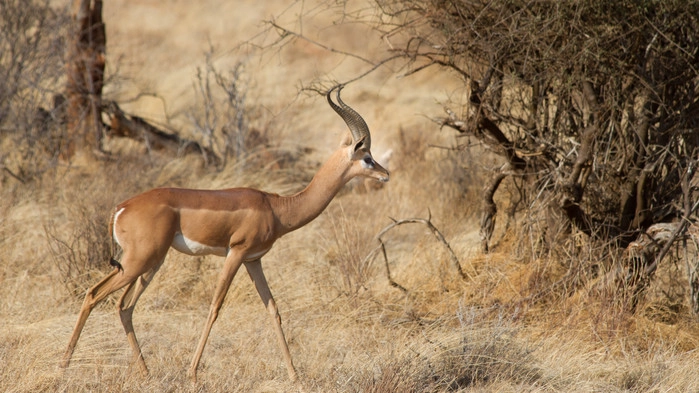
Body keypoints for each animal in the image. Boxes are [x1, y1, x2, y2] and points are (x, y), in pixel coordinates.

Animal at [58, 85, 392, 380]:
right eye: (367, 156)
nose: (386, 174)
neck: (276, 207)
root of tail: (121, 207)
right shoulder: (236, 253)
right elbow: (215, 308)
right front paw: (192, 374)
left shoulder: (254, 260)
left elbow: (273, 309)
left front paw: (296, 376)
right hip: (137, 262)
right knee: (93, 294)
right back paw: (64, 366)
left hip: (151, 263)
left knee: (124, 306)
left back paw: (145, 372)